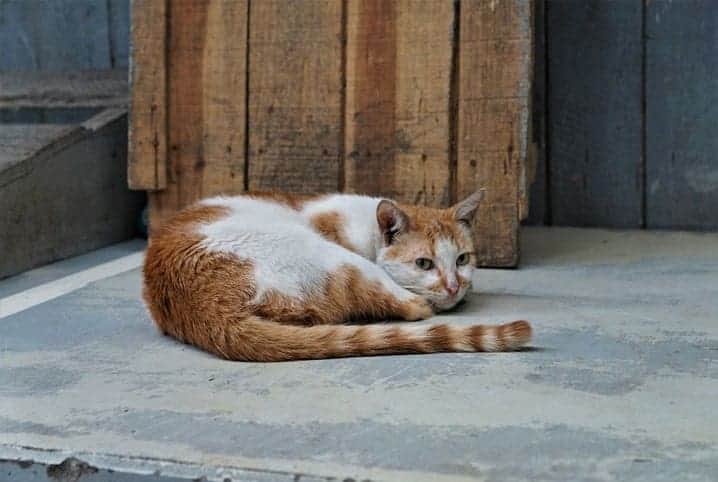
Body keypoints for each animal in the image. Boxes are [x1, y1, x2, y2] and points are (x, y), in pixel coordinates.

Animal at [143, 191, 532, 362]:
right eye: (424, 264)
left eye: (463, 259)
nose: (453, 286)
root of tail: (205, 307)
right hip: (335, 259)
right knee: (409, 307)